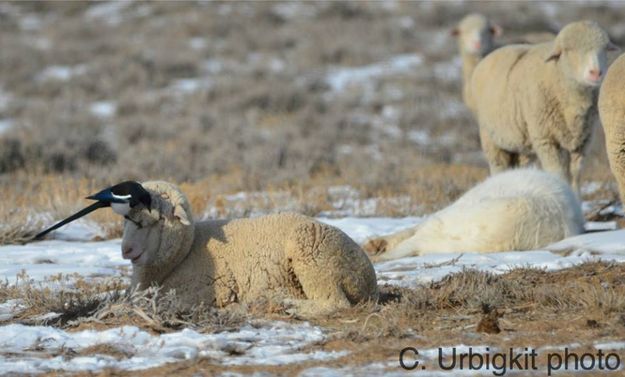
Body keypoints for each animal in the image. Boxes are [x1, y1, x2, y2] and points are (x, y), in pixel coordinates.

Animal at [119, 181, 378, 316]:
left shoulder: (203, 290)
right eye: (126, 219)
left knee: (334, 303)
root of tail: (369, 279)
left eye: (159, 219)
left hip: (311, 254)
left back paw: (288, 305)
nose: (126, 250)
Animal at [470, 19, 616, 194]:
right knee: (498, 165)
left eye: (604, 49)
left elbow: (575, 176)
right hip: (491, 138)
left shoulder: (582, 142)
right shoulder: (546, 139)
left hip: (522, 144)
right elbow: (558, 174)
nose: (595, 73)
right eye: (569, 50)